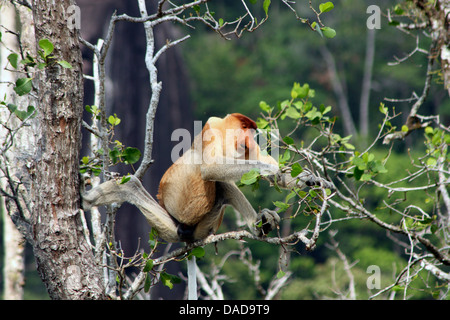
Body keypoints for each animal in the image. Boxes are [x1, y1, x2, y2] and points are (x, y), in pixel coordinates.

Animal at [81, 114, 334, 241]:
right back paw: (86, 200)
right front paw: (270, 170)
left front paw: (310, 180)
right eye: (246, 128)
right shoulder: (212, 129)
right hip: (171, 226)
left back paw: (259, 226)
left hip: (204, 225)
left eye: (252, 133)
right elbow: (210, 168)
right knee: (131, 186)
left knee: (223, 186)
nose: (252, 140)